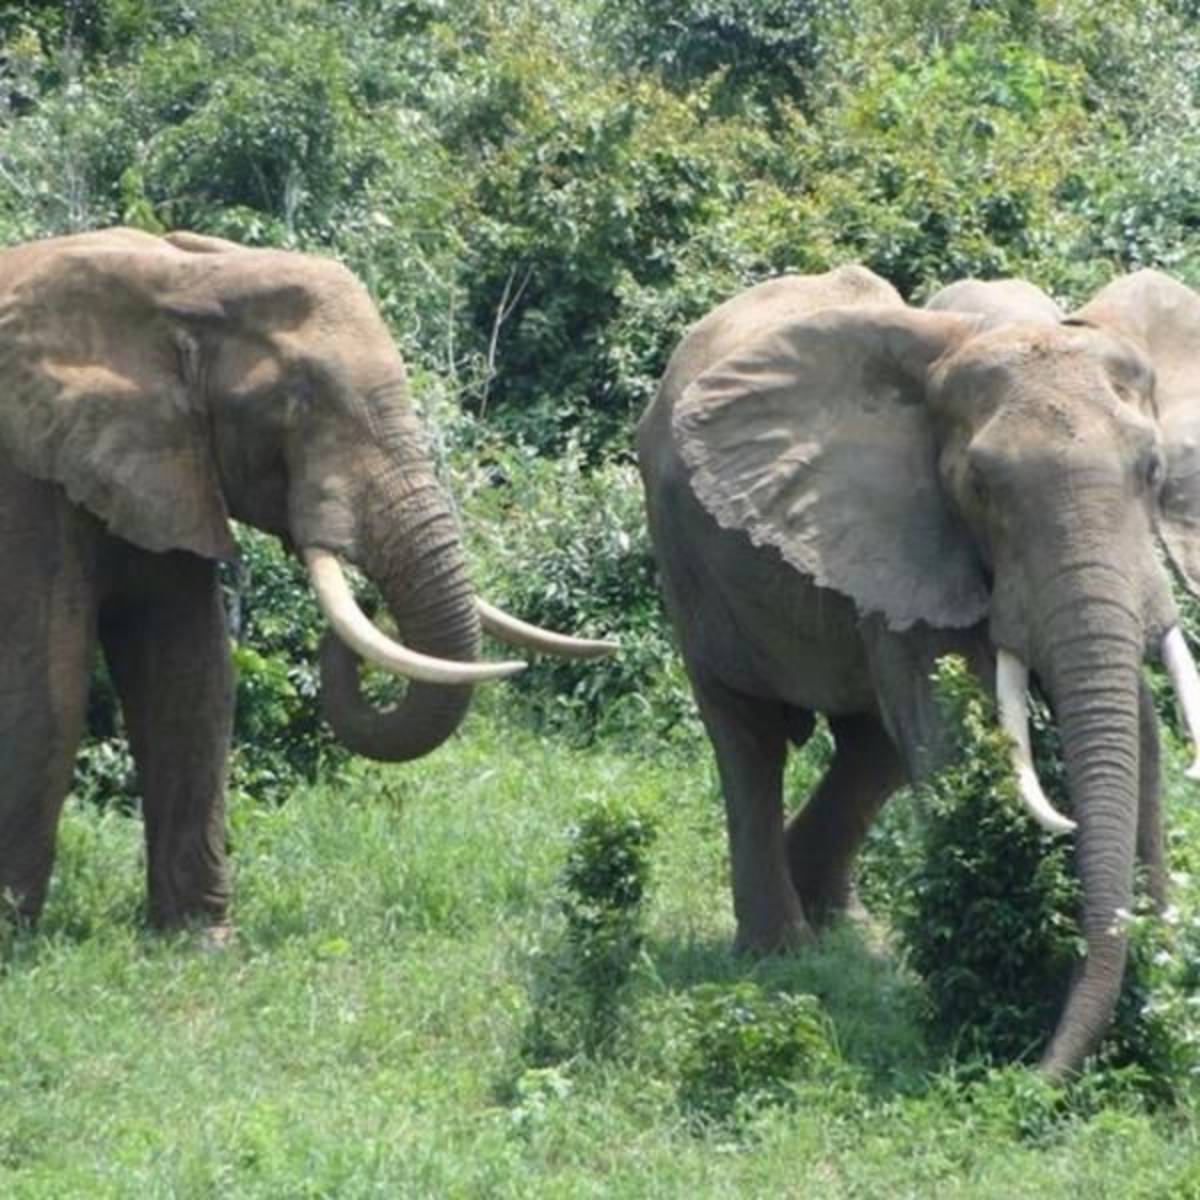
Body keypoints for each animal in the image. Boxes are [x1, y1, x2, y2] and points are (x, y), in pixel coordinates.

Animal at [0, 226, 614, 937]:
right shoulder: (23, 477)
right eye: (293, 407)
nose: (368, 600)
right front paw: (13, 937)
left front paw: (200, 939)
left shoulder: (165, 463)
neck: (177, 283)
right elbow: (46, 687)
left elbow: (189, 673)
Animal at [636, 263, 1200, 1077]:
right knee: (749, 736)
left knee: (873, 749)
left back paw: (844, 926)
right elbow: (958, 736)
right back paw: (782, 956)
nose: (1036, 1076)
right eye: (981, 489)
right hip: (688, 566)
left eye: (1153, 472)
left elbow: (1143, 741)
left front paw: (1156, 998)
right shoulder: (908, 531)